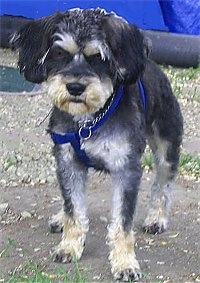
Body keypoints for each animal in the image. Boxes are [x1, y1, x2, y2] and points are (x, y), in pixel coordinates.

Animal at [10, 8, 183, 282]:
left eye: (98, 58)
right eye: (60, 54)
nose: (75, 87)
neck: (88, 121)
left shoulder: (126, 170)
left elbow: (122, 223)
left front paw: (125, 263)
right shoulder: (68, 163)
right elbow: (74, 208)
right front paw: (69, 246)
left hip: (167, 145)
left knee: (163, 184)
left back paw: (157, 218)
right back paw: (60, 218)